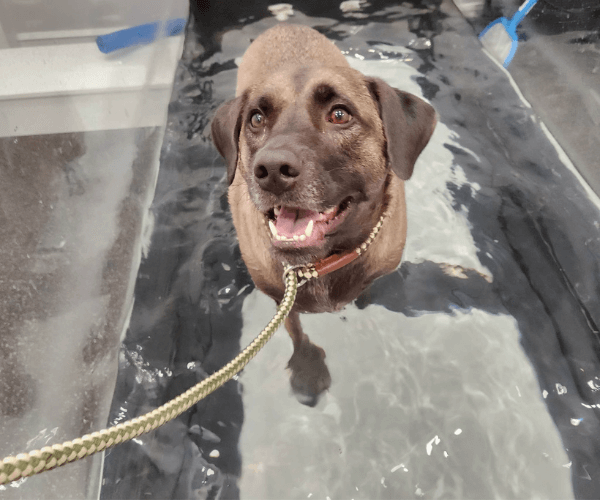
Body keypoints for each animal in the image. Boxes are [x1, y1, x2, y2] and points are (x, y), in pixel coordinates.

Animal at [212, 24, 436, 406]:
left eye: (340, 114)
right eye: (256, 118)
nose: (271, 170)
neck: (320, 264)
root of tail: (283, 25)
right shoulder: (280, 297)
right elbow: (295, 330)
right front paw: (307, 368)